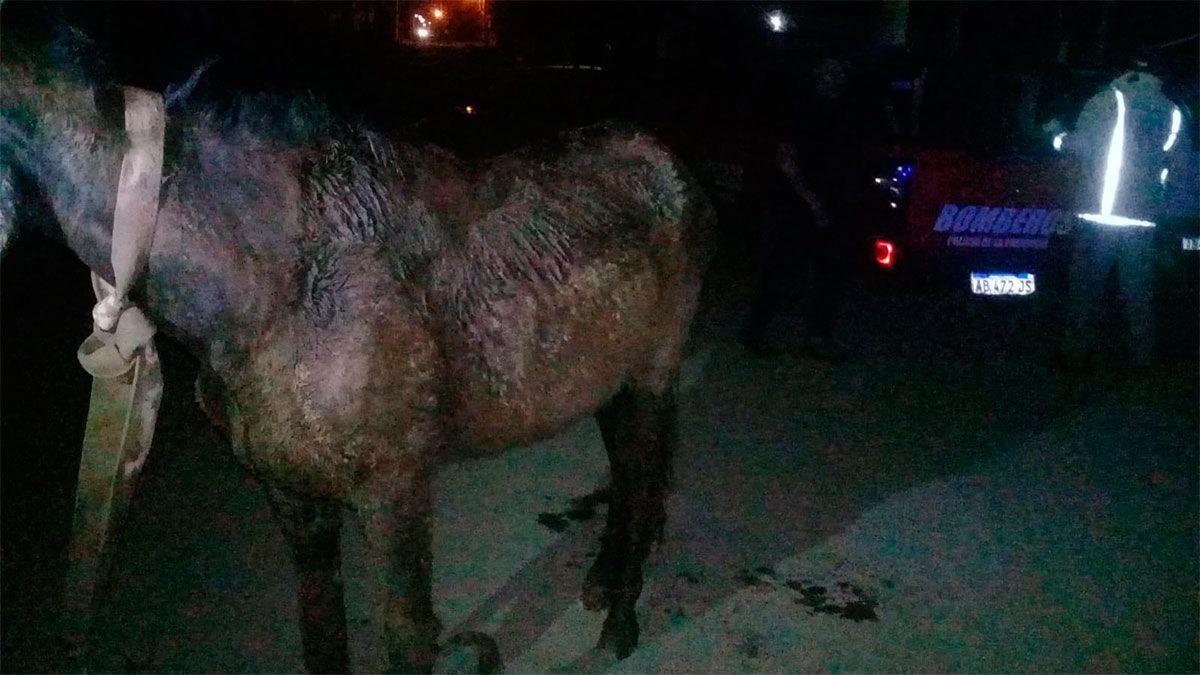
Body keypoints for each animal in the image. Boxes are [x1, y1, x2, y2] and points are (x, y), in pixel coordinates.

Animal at [0, 23, 710, 667]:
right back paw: (604, 584)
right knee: (627, 470)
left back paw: (620, 623)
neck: (268, 292)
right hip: (607, 381)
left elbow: (408, 634)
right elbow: (320, 627)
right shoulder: (293, 496)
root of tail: (668, 166)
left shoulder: (393, 492)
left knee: (644, 473)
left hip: (653, 376)